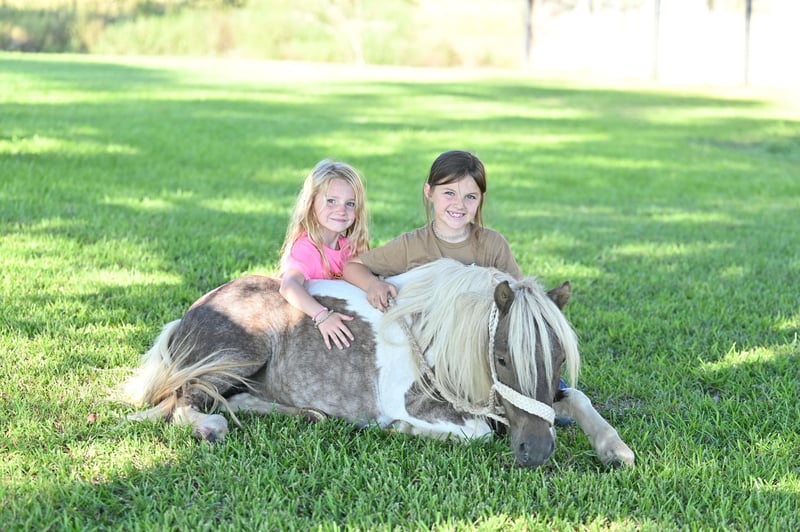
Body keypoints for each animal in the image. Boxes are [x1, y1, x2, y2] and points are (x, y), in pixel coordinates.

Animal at [121, 258, 634, 468]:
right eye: (503, 357)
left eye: (560, 357)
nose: (537, 453)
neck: (436, 330)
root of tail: (194, 309)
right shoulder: (410, 401)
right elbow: (477, 431)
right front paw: (400, 430)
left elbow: (575, 399)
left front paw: (615, 449)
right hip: (238, 356)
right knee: (184, 399)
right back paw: (210, 427)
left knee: (234, 399)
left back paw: (307, 414)